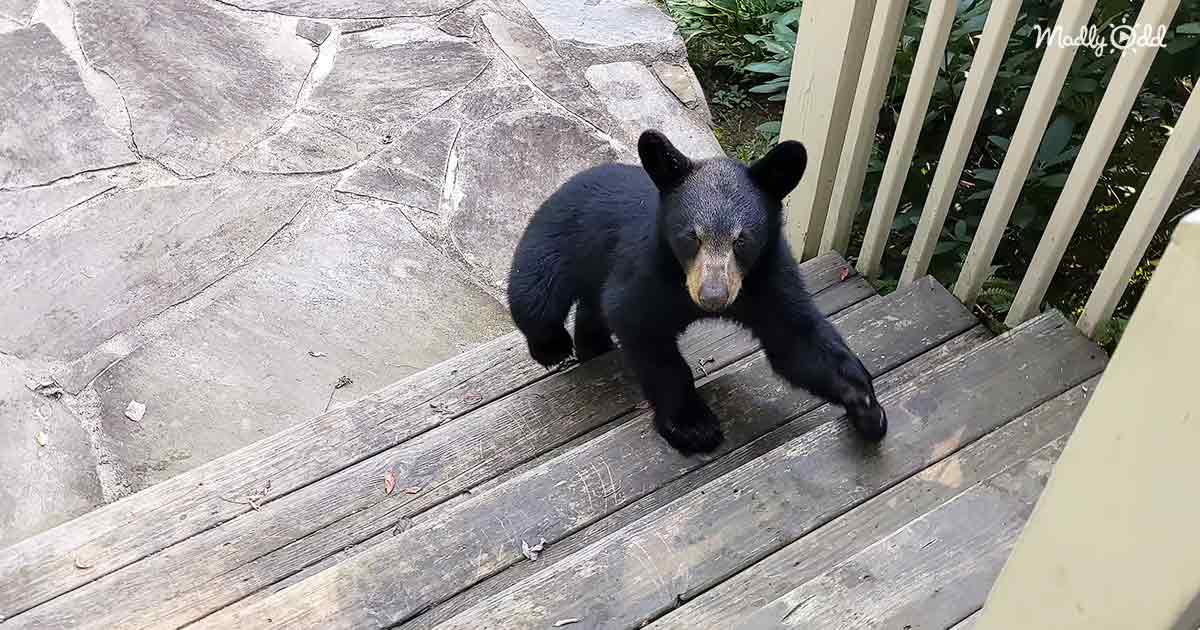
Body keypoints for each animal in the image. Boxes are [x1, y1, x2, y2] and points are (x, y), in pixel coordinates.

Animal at [506, 130, 886, 454]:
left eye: (742, 240)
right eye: (692, 236)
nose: (713, 297)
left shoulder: (767, 276)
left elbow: (796, 339)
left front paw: (866, 405)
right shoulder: (647, 268)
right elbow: (640, 326)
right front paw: (693, 427)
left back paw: (593, 344)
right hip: (556, 239)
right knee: (536, 295)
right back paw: (553, 347)